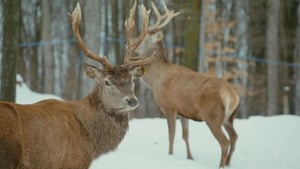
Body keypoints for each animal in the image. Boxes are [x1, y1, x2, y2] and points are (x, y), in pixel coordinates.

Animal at [133, 0, 239, 168]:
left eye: (143, 38)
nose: (130, 44)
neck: (155, 80)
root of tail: (232, 95)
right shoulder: (184, 111)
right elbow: (185, 135)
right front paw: (190, 157)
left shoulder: (169, 107)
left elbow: (171, 134)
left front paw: (170, 155)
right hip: (229, 117)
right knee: (234, 137)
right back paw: (228, 163)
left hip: (213, 116)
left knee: (225, 142)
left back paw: (221, 165)